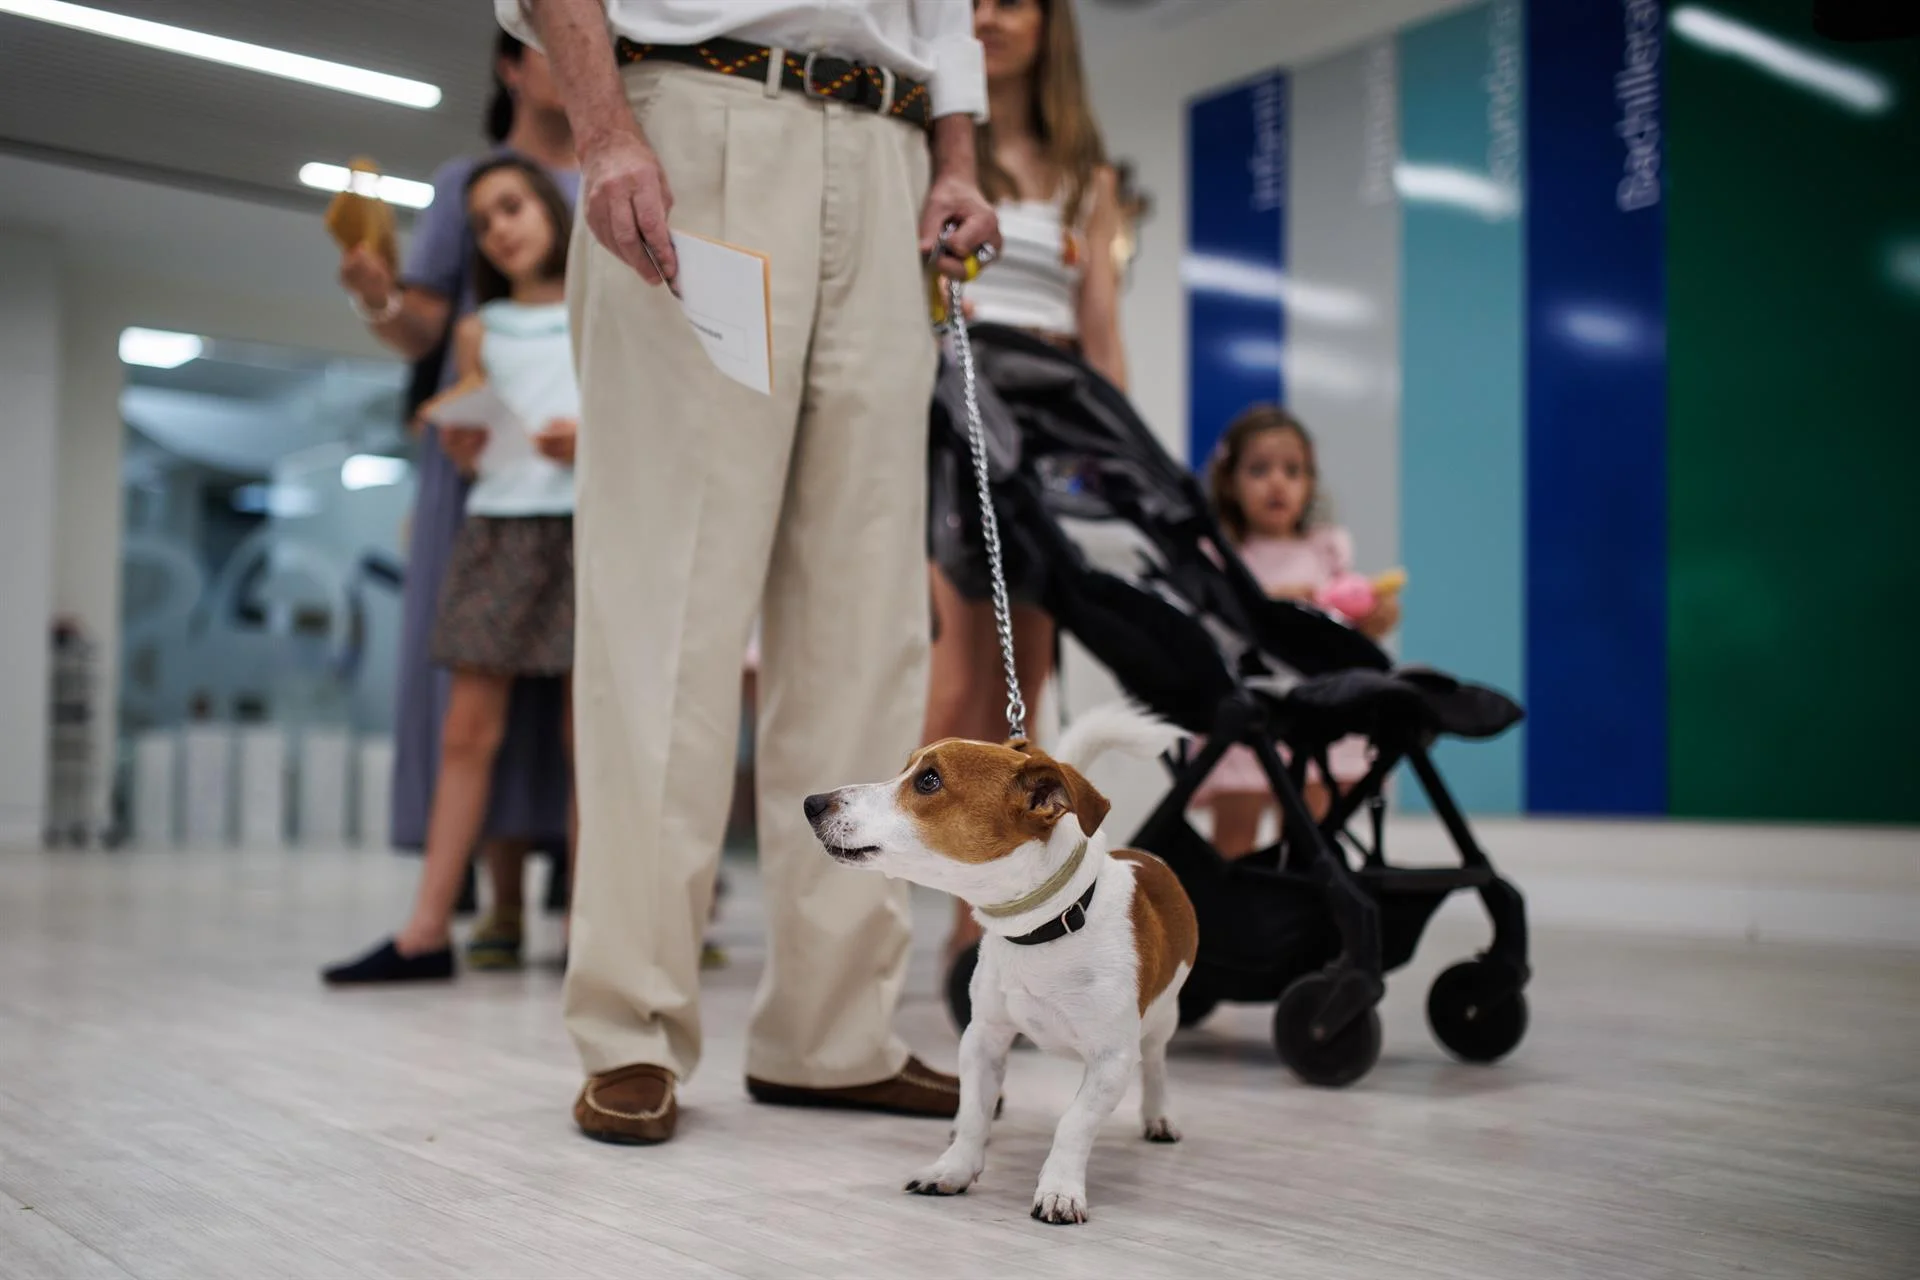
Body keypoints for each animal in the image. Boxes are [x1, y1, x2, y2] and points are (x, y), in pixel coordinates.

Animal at [802, 706, 1190, 1228]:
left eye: (929, 780)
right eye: (908, 767)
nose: (812, 802)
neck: (1046, 925)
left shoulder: (1111, 1061)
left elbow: (1074, 1123)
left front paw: (1060, 1189)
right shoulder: (982, 1038)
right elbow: (973, 1113)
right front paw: (954, 1168)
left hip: (1164, 1018)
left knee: (1157, 1063)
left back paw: (1159, 1114)